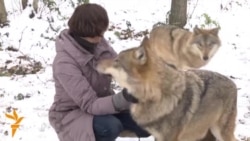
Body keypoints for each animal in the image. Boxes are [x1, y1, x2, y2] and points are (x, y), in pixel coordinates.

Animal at [95, 36, 236, 141]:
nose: (95, 61)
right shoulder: (158, 136)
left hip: (219, 132)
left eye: (117, 60)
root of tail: (233, 83)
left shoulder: (170, 138)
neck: (157, 95)